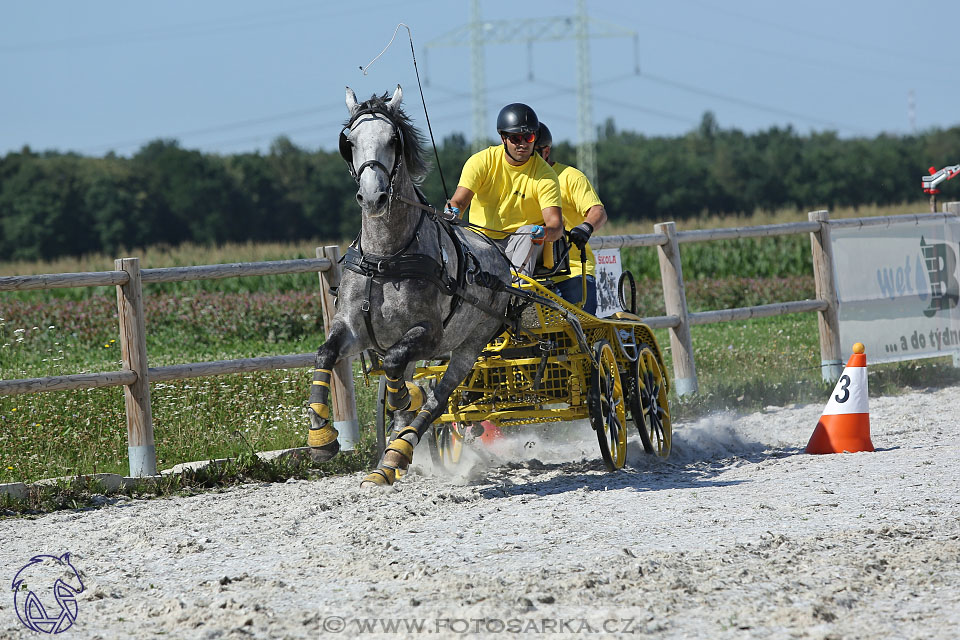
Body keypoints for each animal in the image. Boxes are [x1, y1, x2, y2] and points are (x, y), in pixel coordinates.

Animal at [310, 85, 512, 484]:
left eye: (393, 140)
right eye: (350, 142)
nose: (372, 196)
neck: (385, 259)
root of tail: (499, 255)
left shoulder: (429, 335)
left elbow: (399, 374)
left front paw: (405, 398)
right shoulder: (353, 328)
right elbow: (325, 354)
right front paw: (320, 436)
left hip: (468, 347)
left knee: (438, 400)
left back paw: (399, 451)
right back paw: (390, 457)